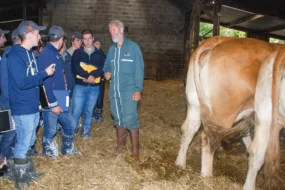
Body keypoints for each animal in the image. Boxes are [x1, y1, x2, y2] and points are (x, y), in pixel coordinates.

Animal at [175, 36, 282, 189]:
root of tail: (219, 40)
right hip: (224, 113)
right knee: (208, 137)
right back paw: (207, 176)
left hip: (194, 103)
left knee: (188, 129)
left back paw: (180, 163)